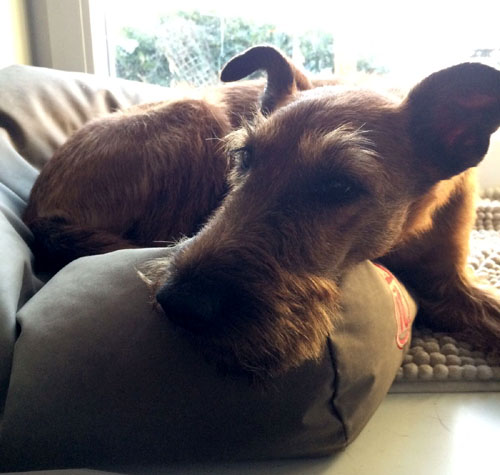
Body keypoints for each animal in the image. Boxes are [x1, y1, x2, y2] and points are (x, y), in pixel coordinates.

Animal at [24, 46, 500, 378]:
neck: (405, 231)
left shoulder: (448, 282)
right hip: (197, 116)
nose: (179, 303)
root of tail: (38, 211)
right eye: (244, 157)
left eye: (340, 185)